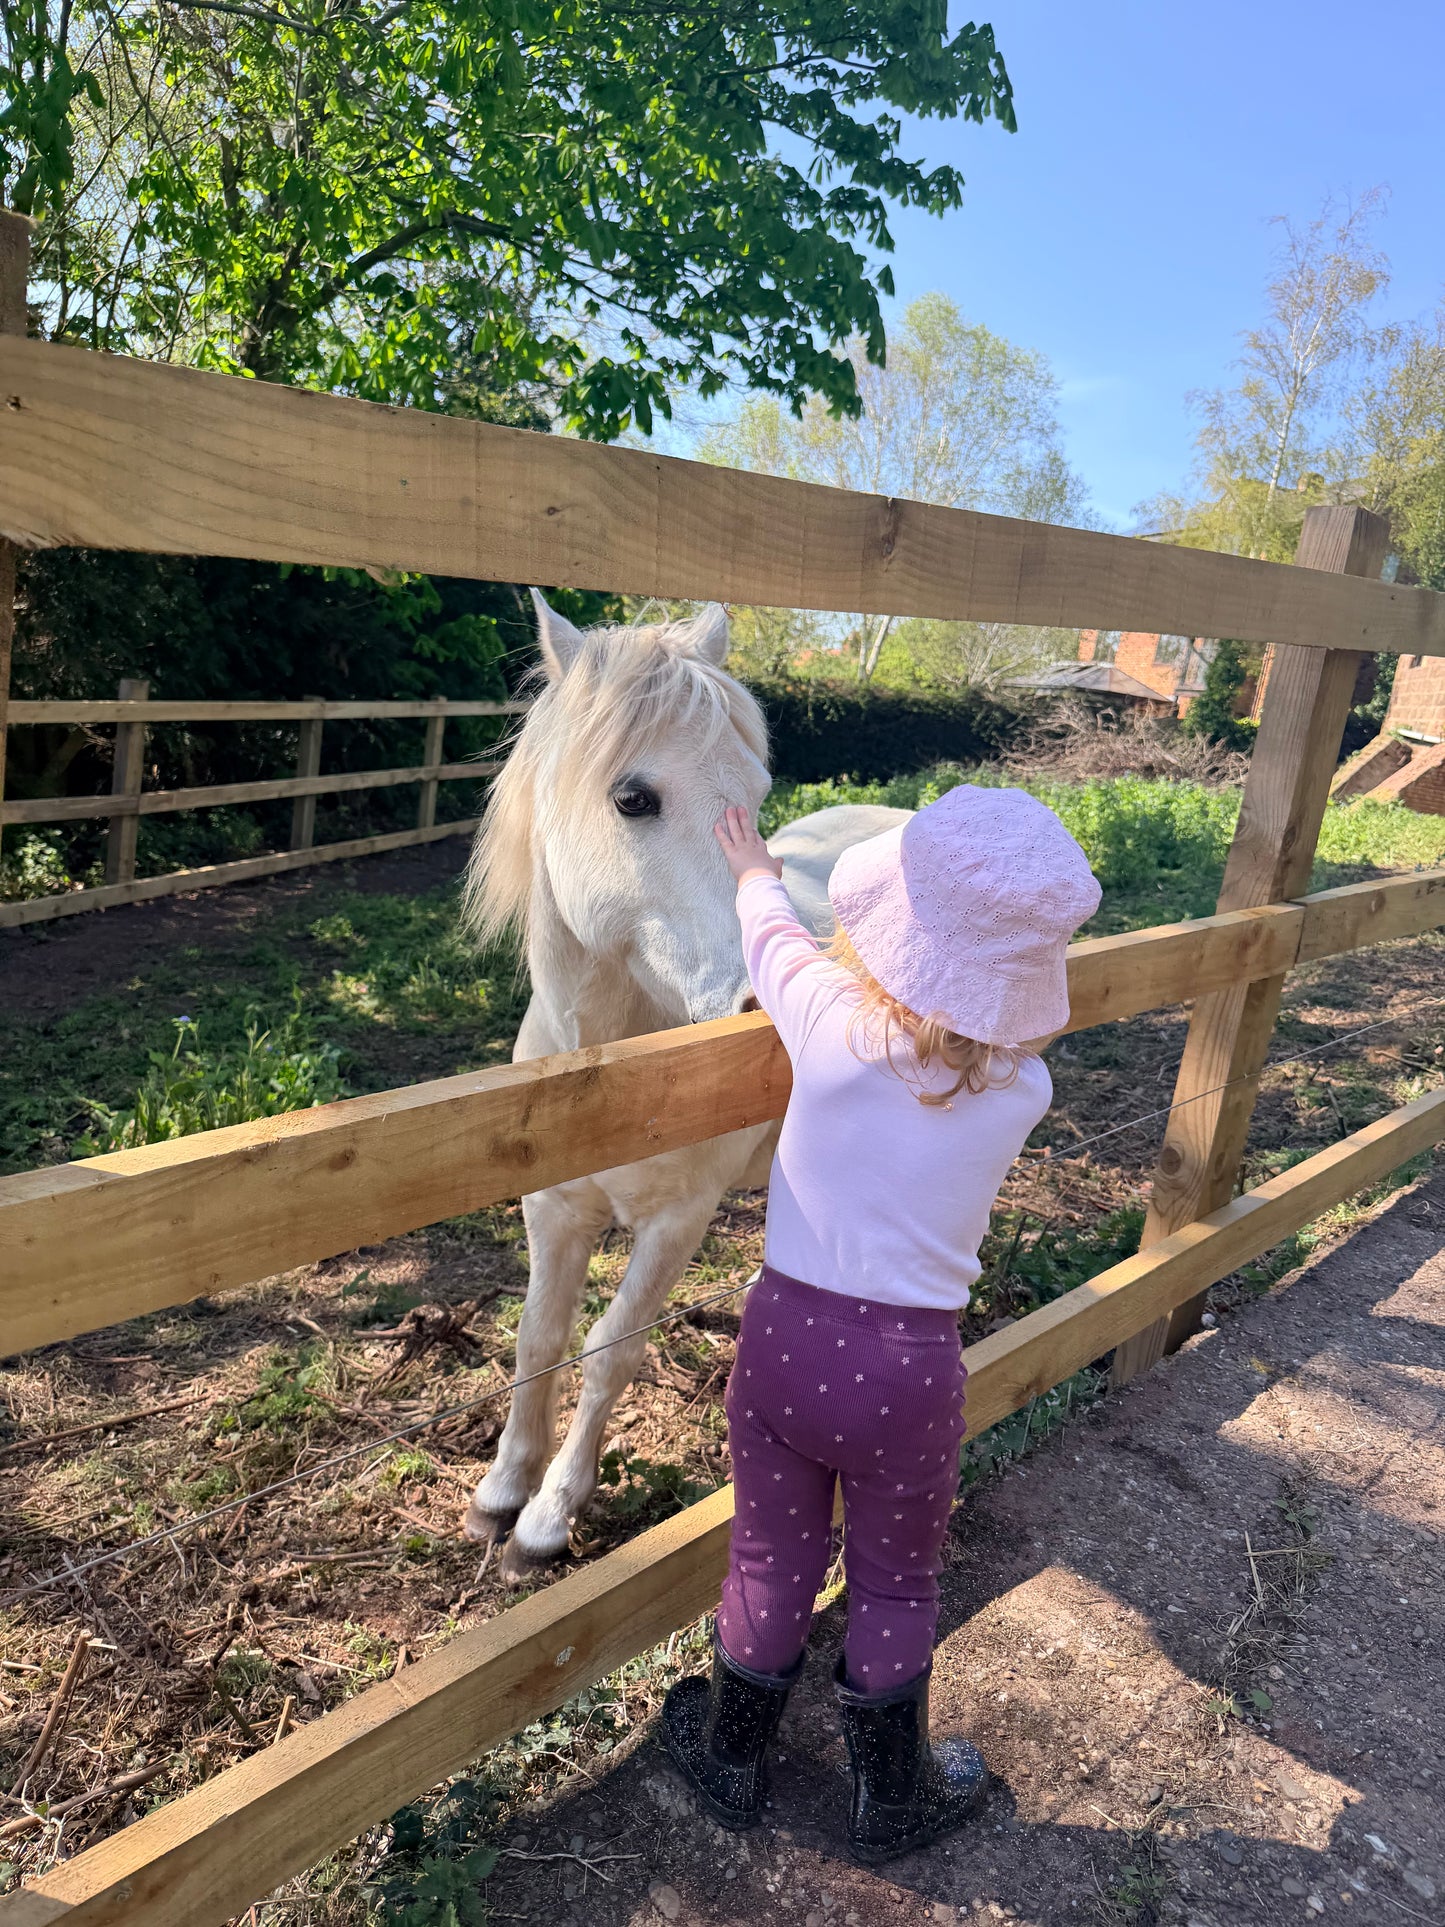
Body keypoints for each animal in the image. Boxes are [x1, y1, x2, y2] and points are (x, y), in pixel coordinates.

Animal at [458, 591, 908, 1582]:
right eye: (633, 797)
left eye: (756, 795)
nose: (770, 1007)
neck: (618, 1071)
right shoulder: (553, 1207)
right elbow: (538, 1336)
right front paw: (503, 1487)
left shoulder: (676, 1221)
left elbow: (605, 1353)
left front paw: (548, 1516)